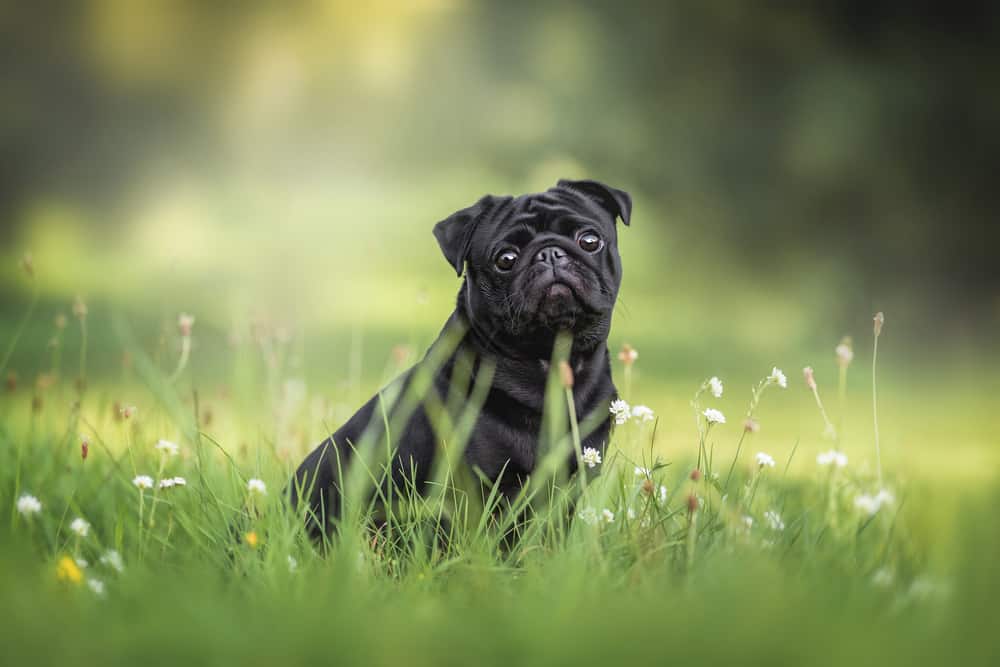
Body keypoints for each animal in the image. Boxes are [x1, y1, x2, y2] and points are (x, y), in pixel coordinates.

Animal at [292, 177, 632, 536]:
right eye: (506, 259)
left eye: (590, 240)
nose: (549, 253)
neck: (550, 360)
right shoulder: (478, 488)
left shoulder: (570, 486)